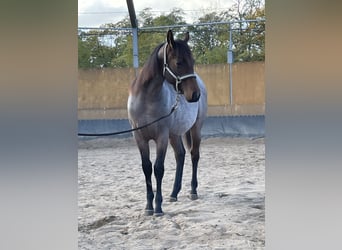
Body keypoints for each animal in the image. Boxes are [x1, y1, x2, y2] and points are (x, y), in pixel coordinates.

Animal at [127, 29, 207, 216]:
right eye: (179, 62)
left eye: (193, 61)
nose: (195, 95)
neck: (147, 100)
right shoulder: (139, 137)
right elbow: (147, 167)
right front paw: (148, 207)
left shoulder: (161, 137)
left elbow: (158, 168)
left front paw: (158, 207)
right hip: (174, 134)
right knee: (180, 155)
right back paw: (174, 193)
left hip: (195, 129)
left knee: (194, 155)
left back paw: (193, 191)